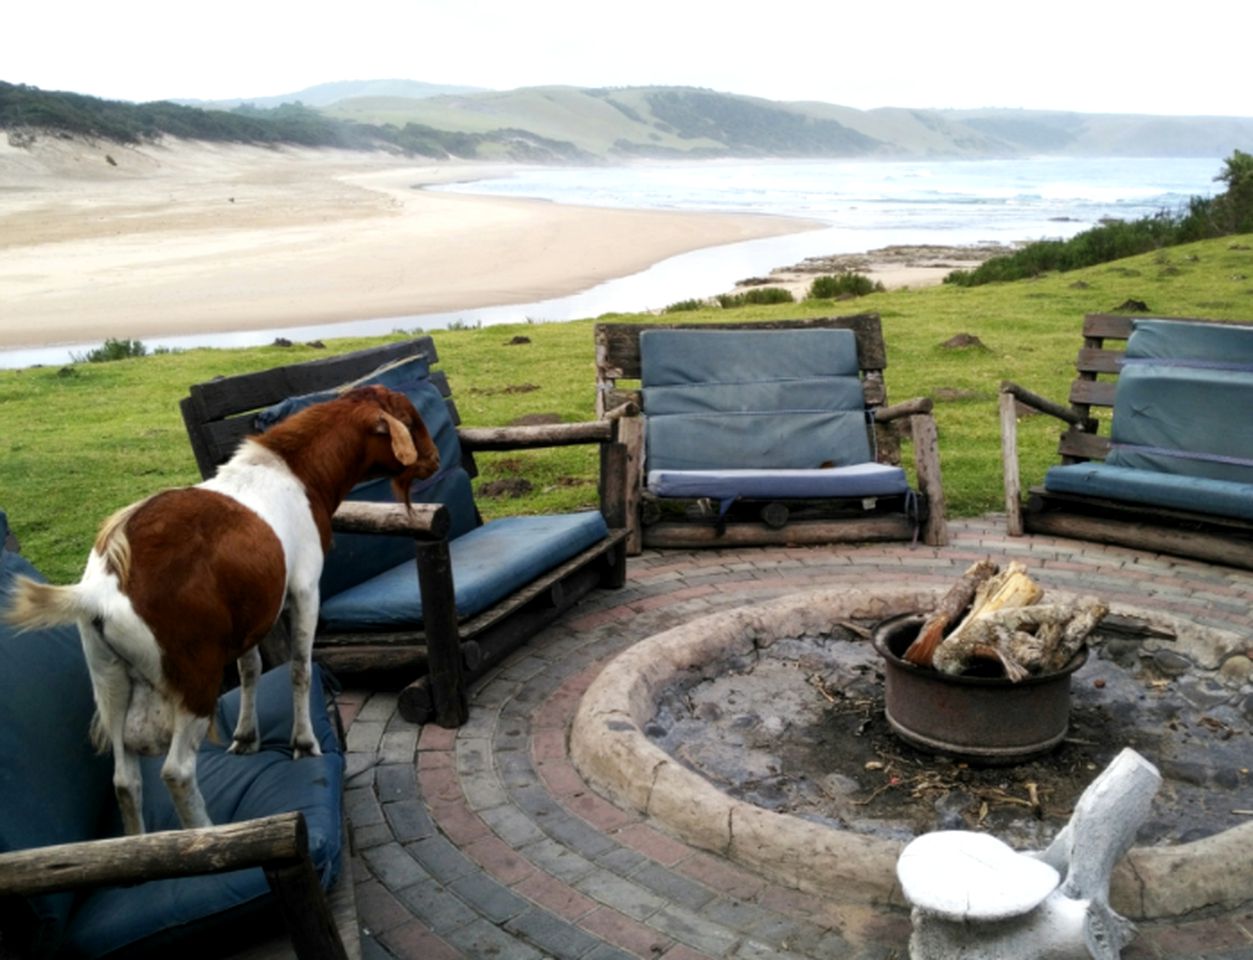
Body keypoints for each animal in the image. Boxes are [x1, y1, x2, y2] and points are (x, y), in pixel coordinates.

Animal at [2, 386, 441, 837]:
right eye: (409, 419)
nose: (434, 459)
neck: (296, 473)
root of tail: (102, 590)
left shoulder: (246, 613)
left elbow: (250, 669)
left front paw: (247, 737)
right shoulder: (304, 589)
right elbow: (300, 668)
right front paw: (303, 743)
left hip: (108, 678)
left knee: (124, 777)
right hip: (195, 675)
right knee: (176, 770)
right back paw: (207, 835)